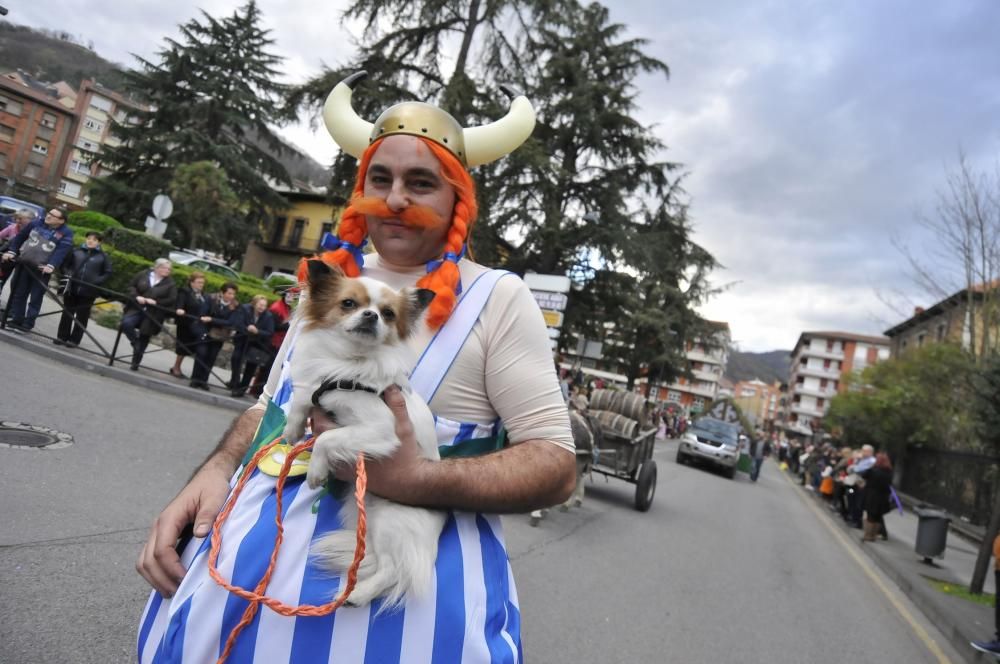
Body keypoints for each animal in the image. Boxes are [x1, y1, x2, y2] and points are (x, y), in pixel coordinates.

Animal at [280, 258, 440, 608]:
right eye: (348, 304)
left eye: (388, 313)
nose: (371, 315)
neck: (347, 363)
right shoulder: (316, 389)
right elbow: (302, 399)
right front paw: (293, 429)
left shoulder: (381, 429)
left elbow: (328, 438)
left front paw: (316, 471)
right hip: (363, 517)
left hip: (390, 521)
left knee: (392, 569)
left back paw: (358, 594)